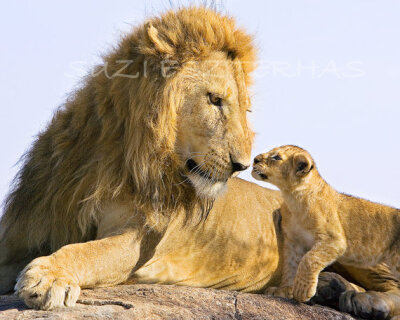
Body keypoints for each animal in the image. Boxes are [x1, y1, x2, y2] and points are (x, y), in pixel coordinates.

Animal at [0, 6, 400, 318]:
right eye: (215, 100)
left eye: (244, 109)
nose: (242, 165)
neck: (117, 159)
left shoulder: (139, 240)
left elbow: (89, 251)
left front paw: (48, 275)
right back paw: (329, 288)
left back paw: (365, 301)